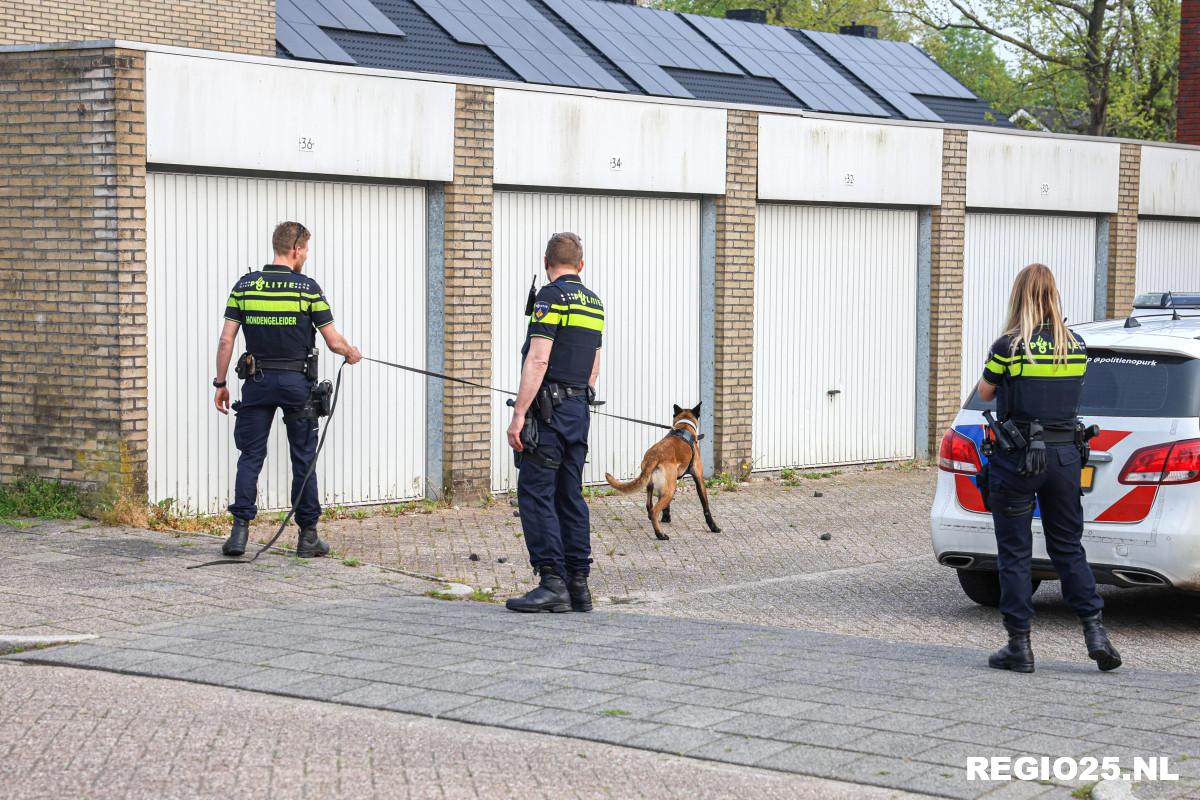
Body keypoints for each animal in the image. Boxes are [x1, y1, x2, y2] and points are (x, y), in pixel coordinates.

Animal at [604, 402, 715, 542]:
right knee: (654, 511)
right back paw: (660, 534)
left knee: (649, 505)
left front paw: (666, 518)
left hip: (652, 484)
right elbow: (706, 505)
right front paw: (714, 527)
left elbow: (666, 507)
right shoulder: (699, 478)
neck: (684, 426)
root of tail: (654, 456)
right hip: (670, 489)